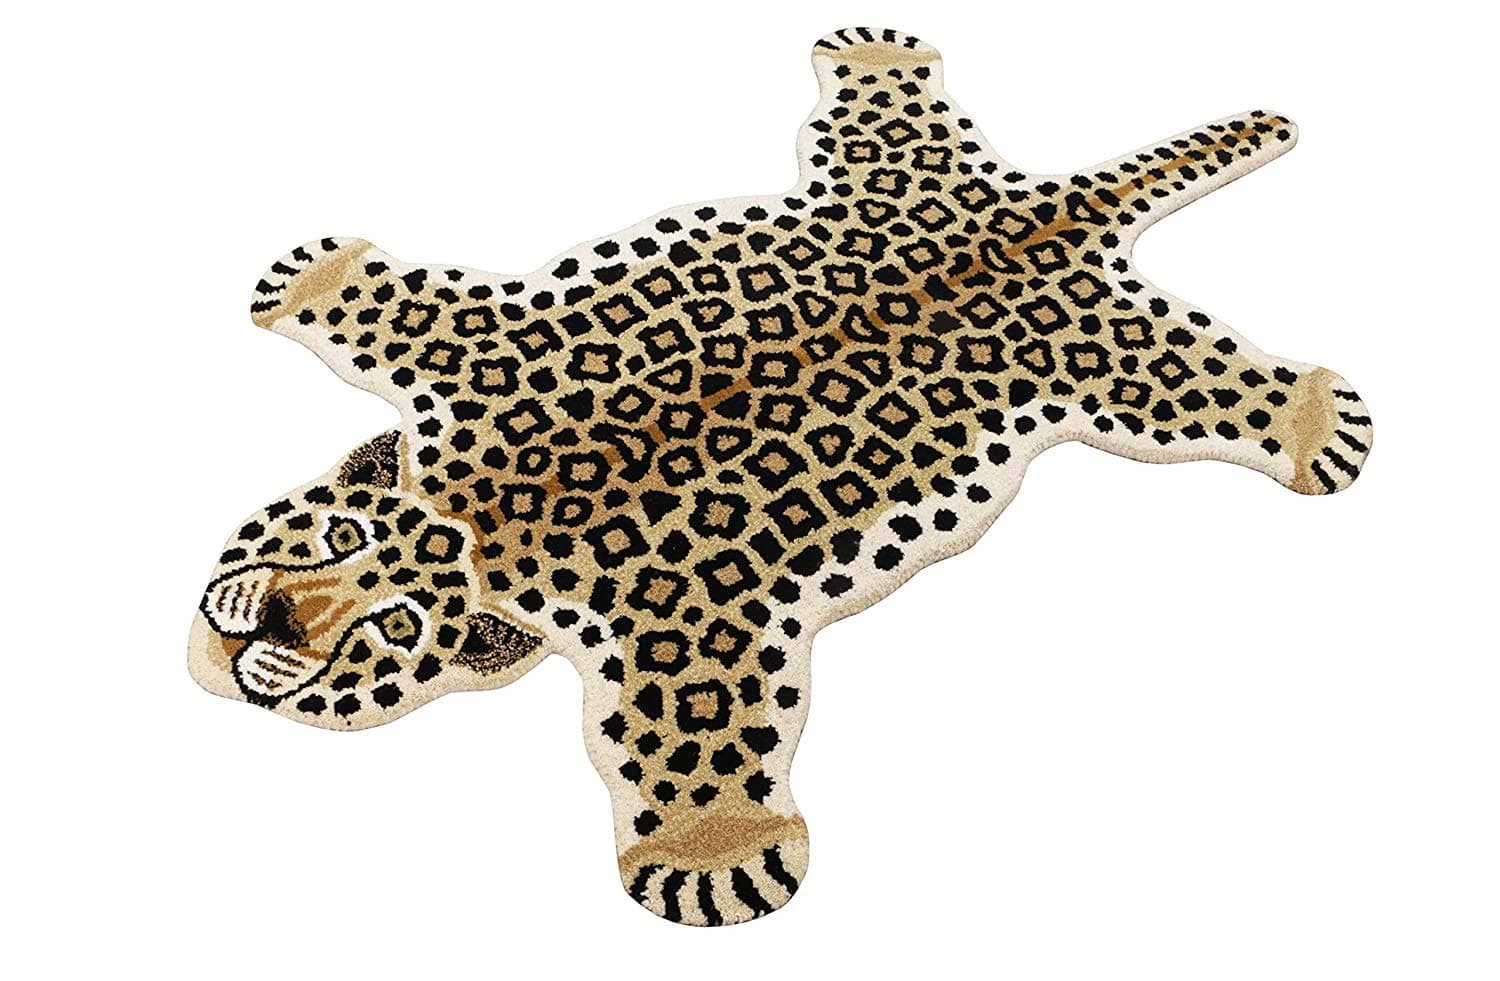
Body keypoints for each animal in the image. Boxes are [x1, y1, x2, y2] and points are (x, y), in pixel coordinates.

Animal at [189, 27, 1372, 925]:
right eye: (338, 539)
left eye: (395, 631)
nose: (276, 626)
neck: (483, 506)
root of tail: (1041, 207)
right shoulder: (476, 353)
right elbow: (406, 306)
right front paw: (315, 279)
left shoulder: (682, 628)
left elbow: (685, 737)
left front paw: (715, 854)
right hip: (888, 173)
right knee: (892, 121)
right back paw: (878, 52)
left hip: (1115, 370)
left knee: (1222, 389)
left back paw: (1320, 417)